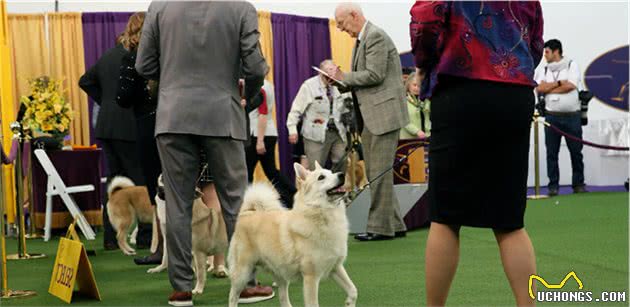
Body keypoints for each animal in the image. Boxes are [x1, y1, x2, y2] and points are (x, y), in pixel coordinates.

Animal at [228, 162, 358, 306]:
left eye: (331, 172)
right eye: (321, 177)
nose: (342, 175)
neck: (322, 215)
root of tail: (246, 213)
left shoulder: (336, 267)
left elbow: (353, 290)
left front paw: (349, 303)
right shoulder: (311, 277)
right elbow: (313, 303)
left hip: (280, 274)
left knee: (283, 299)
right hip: (243, 272)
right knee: (233, 296)